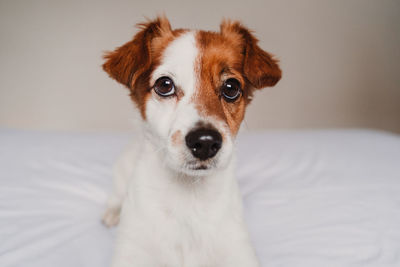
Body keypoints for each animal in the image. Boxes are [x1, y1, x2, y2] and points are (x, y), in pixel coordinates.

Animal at [101, 16, 280, 267]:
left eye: (231, 87)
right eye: (164, 85)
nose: (205, 142)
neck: (189, 196)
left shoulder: (240, 251)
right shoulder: (130, 253)